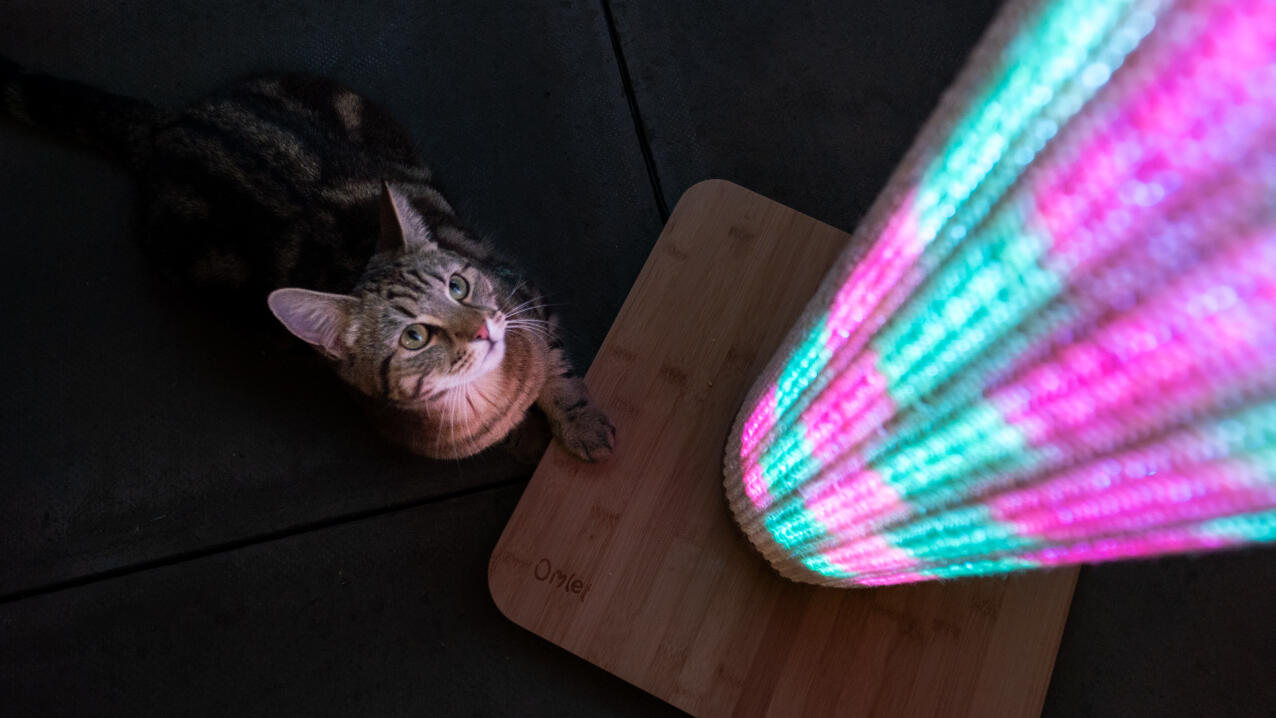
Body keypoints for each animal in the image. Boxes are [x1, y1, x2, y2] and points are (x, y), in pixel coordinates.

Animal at [0, 56, 617, 461]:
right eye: (414, 337)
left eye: (459, 288)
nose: (486, 328)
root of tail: (168, 125)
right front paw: (524, 439)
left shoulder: (524, 296)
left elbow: (558, 371)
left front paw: (580, 423)